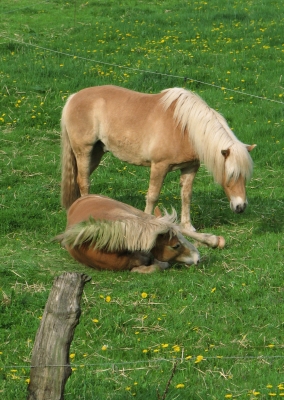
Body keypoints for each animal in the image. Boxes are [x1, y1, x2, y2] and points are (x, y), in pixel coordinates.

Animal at [60, 86, 255, 233]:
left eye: (245, 176)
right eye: (231, 175)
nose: (241, 206)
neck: (184, 128)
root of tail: (73, 97)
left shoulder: (190, 168)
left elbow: (186, 195)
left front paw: (188, 227)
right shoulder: (159, 167)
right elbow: (153, 196)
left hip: (96, 153)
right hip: (84, 151)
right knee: (84, 181)